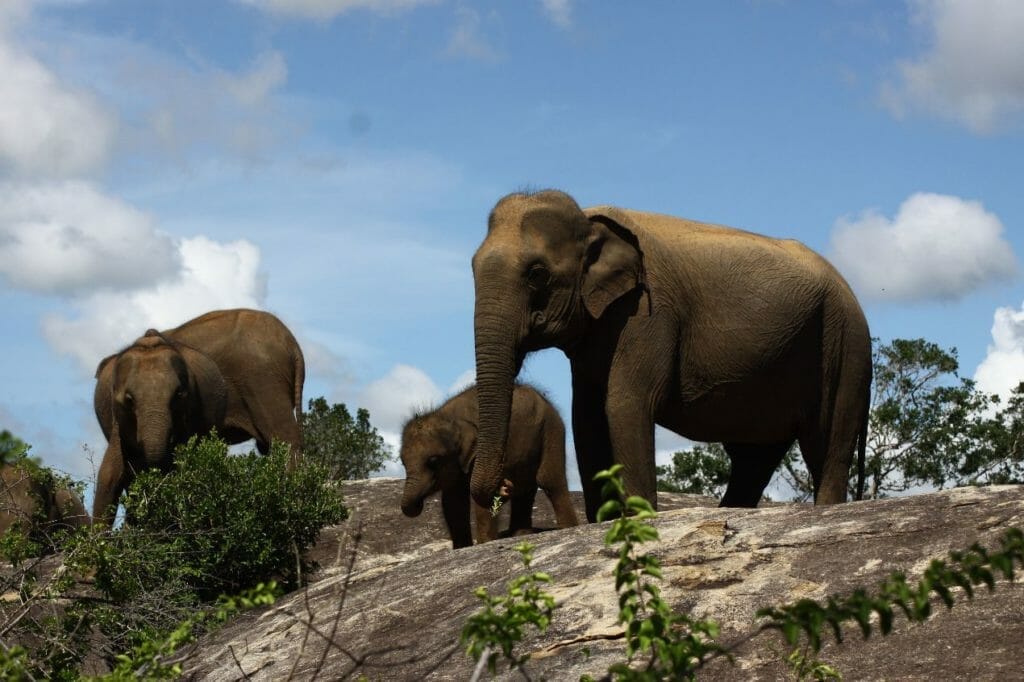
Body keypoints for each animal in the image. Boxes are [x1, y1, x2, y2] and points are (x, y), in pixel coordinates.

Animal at [400, 383, 578, 549]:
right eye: (402, 462)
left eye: (433, 461)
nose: (505, 485)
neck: (450, 417)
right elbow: (453, 502)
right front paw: (462, 548)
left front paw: (485, 543)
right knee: (526, 489)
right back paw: (521, 535)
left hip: (552, 430)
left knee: (549, 480)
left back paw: (568, 528)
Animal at [470, 190, 872, 521]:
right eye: (472, 267)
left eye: (537, 273)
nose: (504, 487)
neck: (588, 220)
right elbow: (586, 418)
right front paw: (605, 524)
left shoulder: (648, 313)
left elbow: (625, 405)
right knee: (753, 459)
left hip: (845, 344)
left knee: (829, 445)